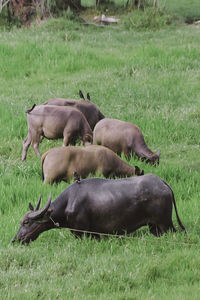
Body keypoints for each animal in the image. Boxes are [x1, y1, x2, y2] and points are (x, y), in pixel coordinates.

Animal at [11, 173, 185, 244]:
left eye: (26, 222)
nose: (16, 239)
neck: (69, 202)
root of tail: (163, 183)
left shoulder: (83, 233)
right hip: (154, 227)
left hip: (165, 224)